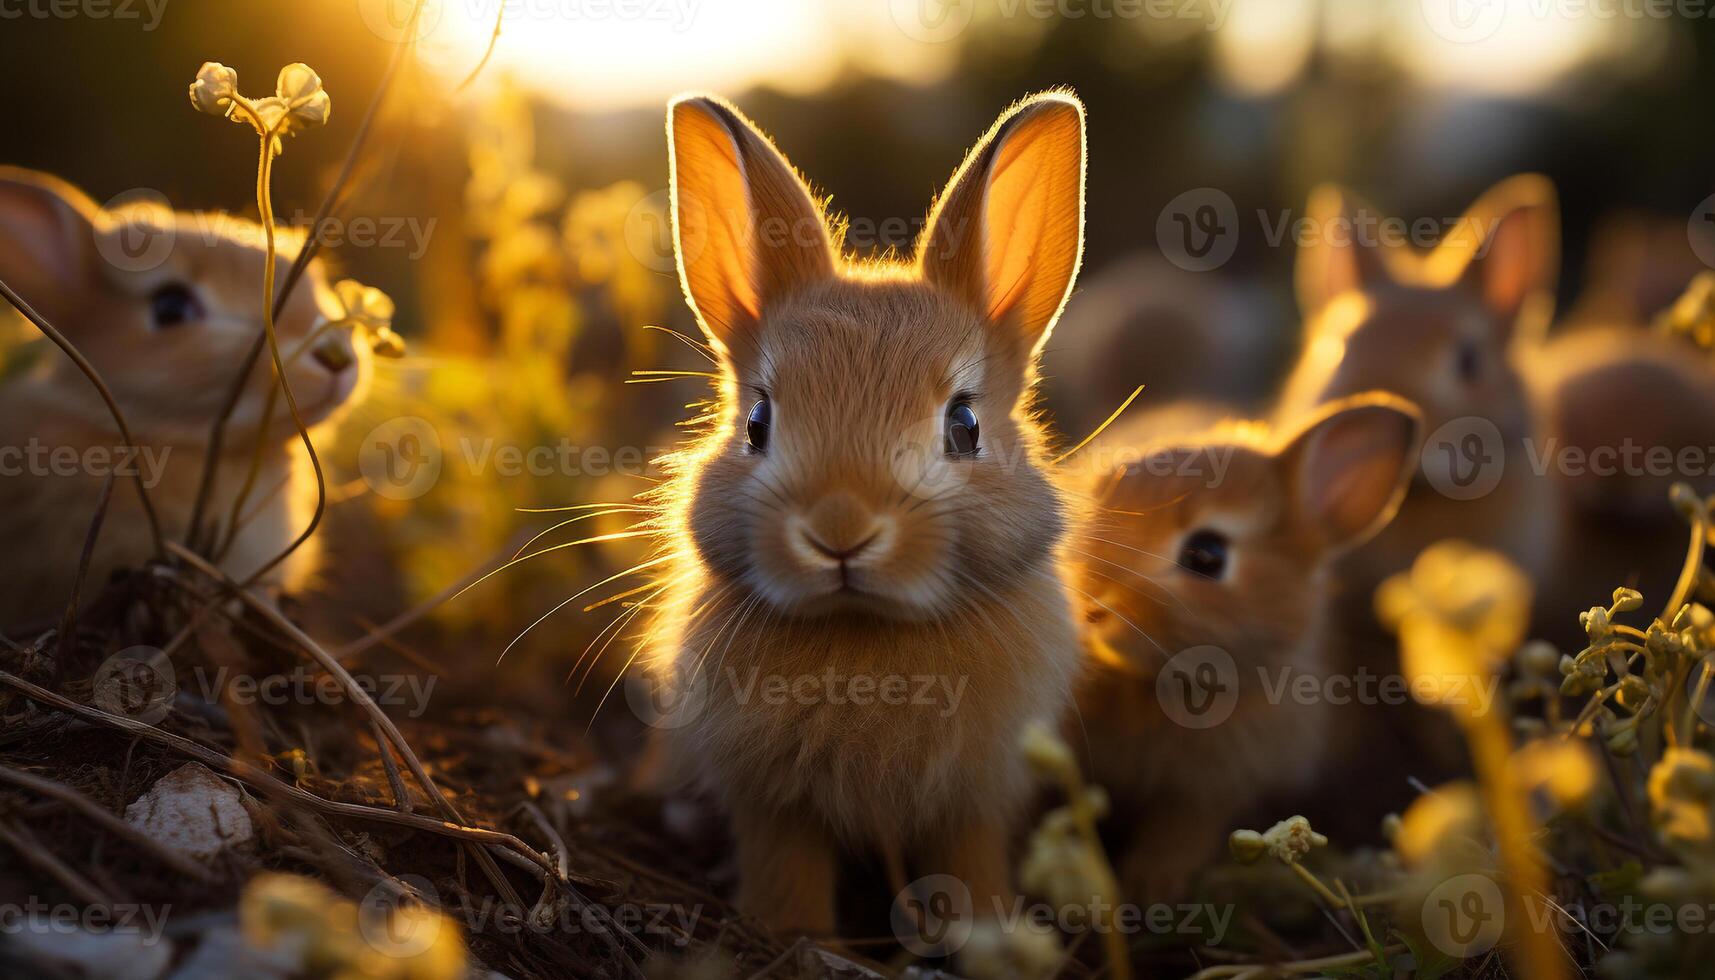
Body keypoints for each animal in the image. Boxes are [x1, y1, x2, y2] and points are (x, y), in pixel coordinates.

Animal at [644, 90, 1083, 933]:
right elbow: (786, 872)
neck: (865, 632)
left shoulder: (973, 799)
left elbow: (970, 866)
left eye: (965, 425)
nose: (839, 533)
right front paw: (794, 935)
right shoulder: (770, 804)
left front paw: (986, 931)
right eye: (757, 424)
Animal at [1070, 391, 1420, 899]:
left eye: (1206, 555)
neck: (1159, 685)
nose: (1091, 606)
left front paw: (1152, 885)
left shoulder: (1211, 790)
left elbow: (1181, 834)